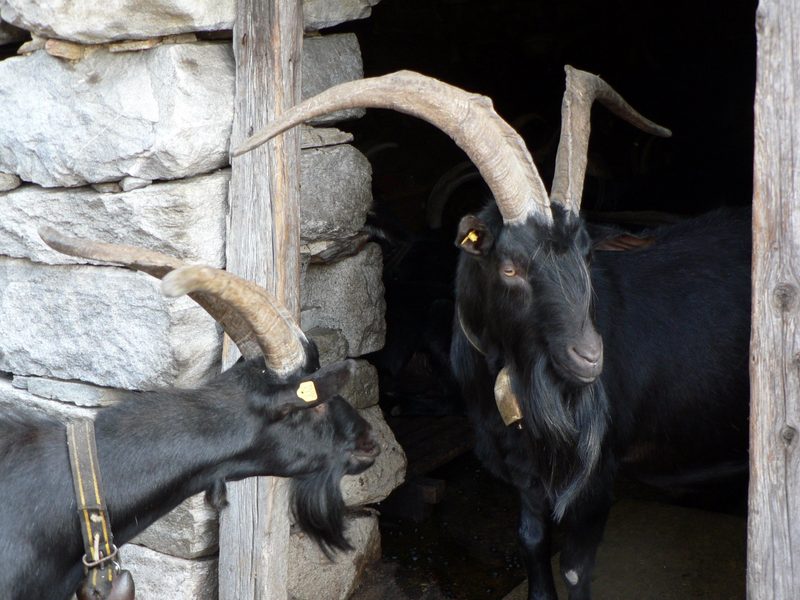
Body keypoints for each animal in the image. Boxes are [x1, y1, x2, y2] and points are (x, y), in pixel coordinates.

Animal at [234, 67, 751, 599]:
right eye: (510, 267)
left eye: (587, 254)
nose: (589, 358)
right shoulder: (521, 474)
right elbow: (531, 542)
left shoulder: (594, 476)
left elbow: (575, 568)